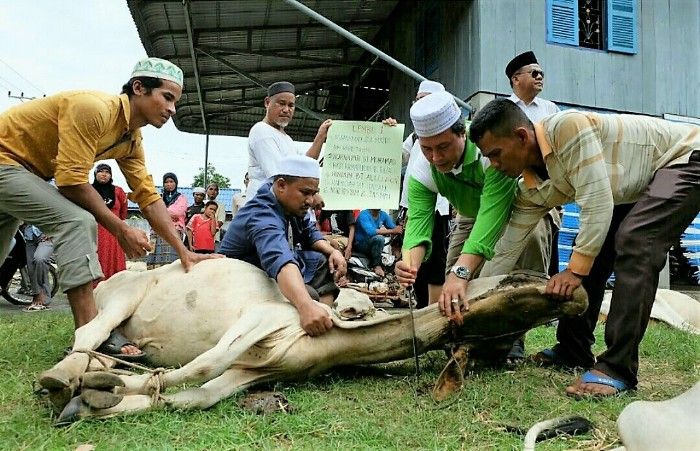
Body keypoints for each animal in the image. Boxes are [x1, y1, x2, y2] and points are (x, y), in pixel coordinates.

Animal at [37, 259, 587, 424]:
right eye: (520, 293)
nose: (578, 295)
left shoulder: (255, 370)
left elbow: (193, 396)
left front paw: (100, 400)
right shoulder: (260, 319)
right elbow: (197, 368)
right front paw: (98, 389)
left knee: (99, 340)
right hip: (123, 297)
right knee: (86, 333)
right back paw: (64, 376)